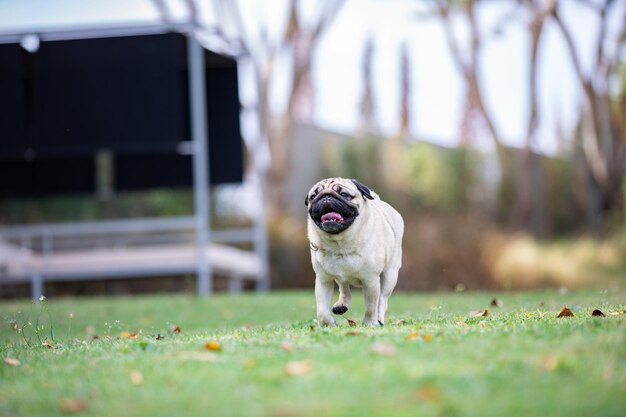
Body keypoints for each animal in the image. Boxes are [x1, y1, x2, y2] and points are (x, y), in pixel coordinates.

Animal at [304, 176, 402, 324]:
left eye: (344, 194)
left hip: (390, 275)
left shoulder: (370, 281)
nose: (326, 196)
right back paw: (341, 304)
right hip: (341, 277)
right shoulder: (323, 281)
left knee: (382, 300)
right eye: (313, 196)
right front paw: (329, 324)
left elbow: (371, 306)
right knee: (345, 288)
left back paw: (379, 319)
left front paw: (370, 323)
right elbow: (322, 312)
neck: (339, 243)